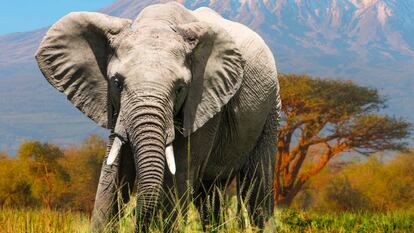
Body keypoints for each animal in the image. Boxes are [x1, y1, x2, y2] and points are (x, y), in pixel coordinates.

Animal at [35, 1, 282, 231]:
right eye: (116, 83)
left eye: (180, 88)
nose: (139, 222)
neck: (159, 22)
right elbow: (114, 171)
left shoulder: (204, 103)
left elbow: (179, 172)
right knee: (210, 194)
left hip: (271, 107)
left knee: (257, 188)